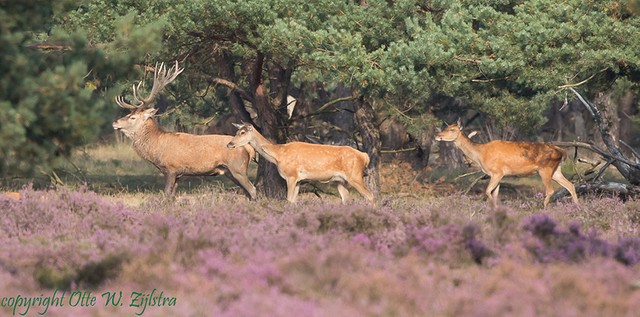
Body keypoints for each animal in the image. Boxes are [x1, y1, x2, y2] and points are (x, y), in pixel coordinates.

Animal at [114, 62, 256, 199]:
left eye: (132, 117)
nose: (115, 122)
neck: (157, 148)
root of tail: (249, 148)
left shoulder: (171, 168)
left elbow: (166, 194)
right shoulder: (178, 174)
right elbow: (172, 196)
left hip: (238, 168)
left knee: (252, 189)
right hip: (229, 172)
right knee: (246, 191)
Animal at [436, 119, 580, 207]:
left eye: (452, 129)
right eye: (446, 127)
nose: (437, 136)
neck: (481, 154)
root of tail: (561, 151)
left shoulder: (497, 172)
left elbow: (487, 192)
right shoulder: (499, 175)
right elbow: (495, 194)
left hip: (545, 169)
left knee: (550, 190)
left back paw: (544, 209)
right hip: (556, 170)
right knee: (570, 185)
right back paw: (577, 207)